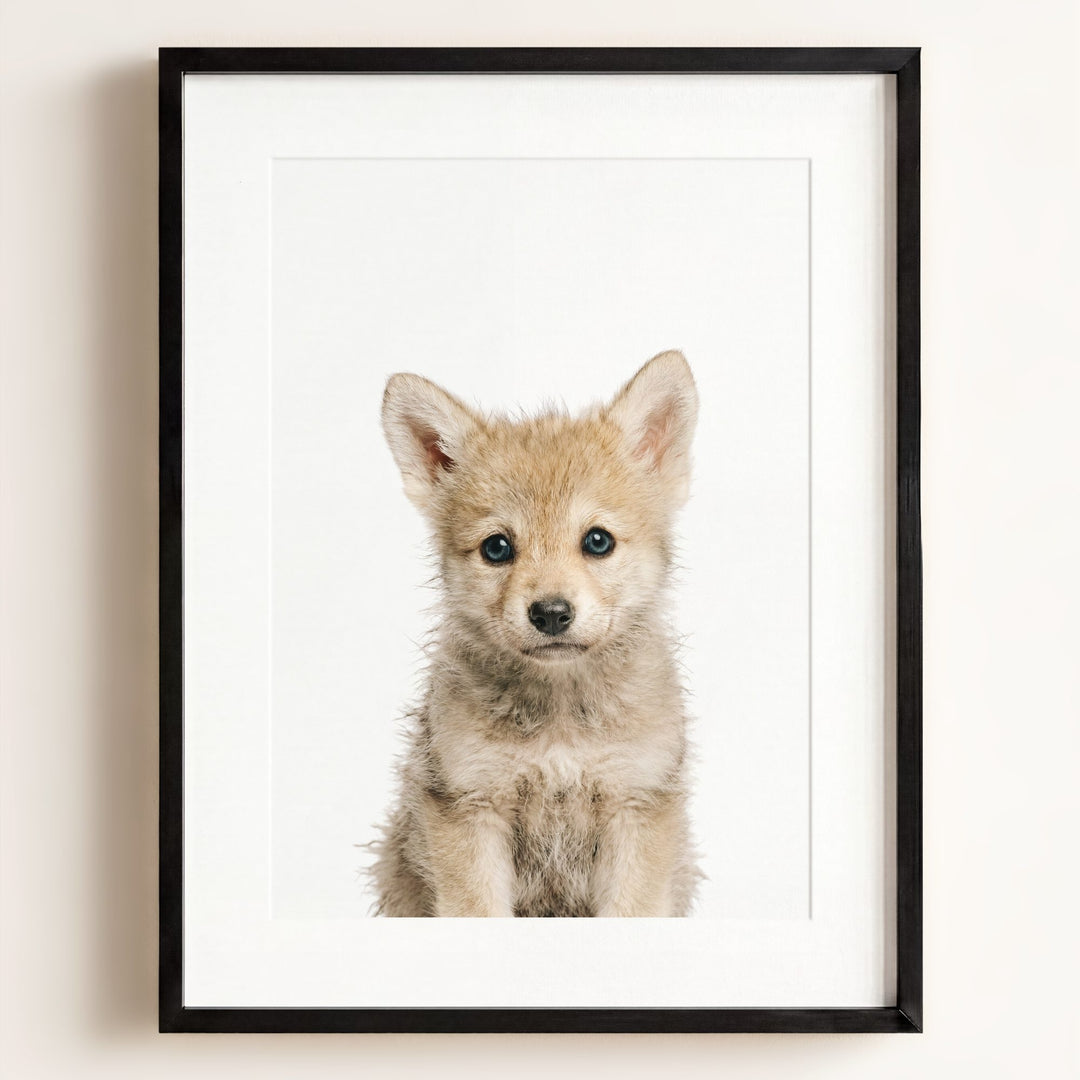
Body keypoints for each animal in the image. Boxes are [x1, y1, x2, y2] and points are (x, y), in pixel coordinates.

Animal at [370, 350, 700, 917]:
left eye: (597, 541)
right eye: (497, 548)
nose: (550, 613)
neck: (560, 724)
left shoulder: (636, 805)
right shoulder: (470, 806)